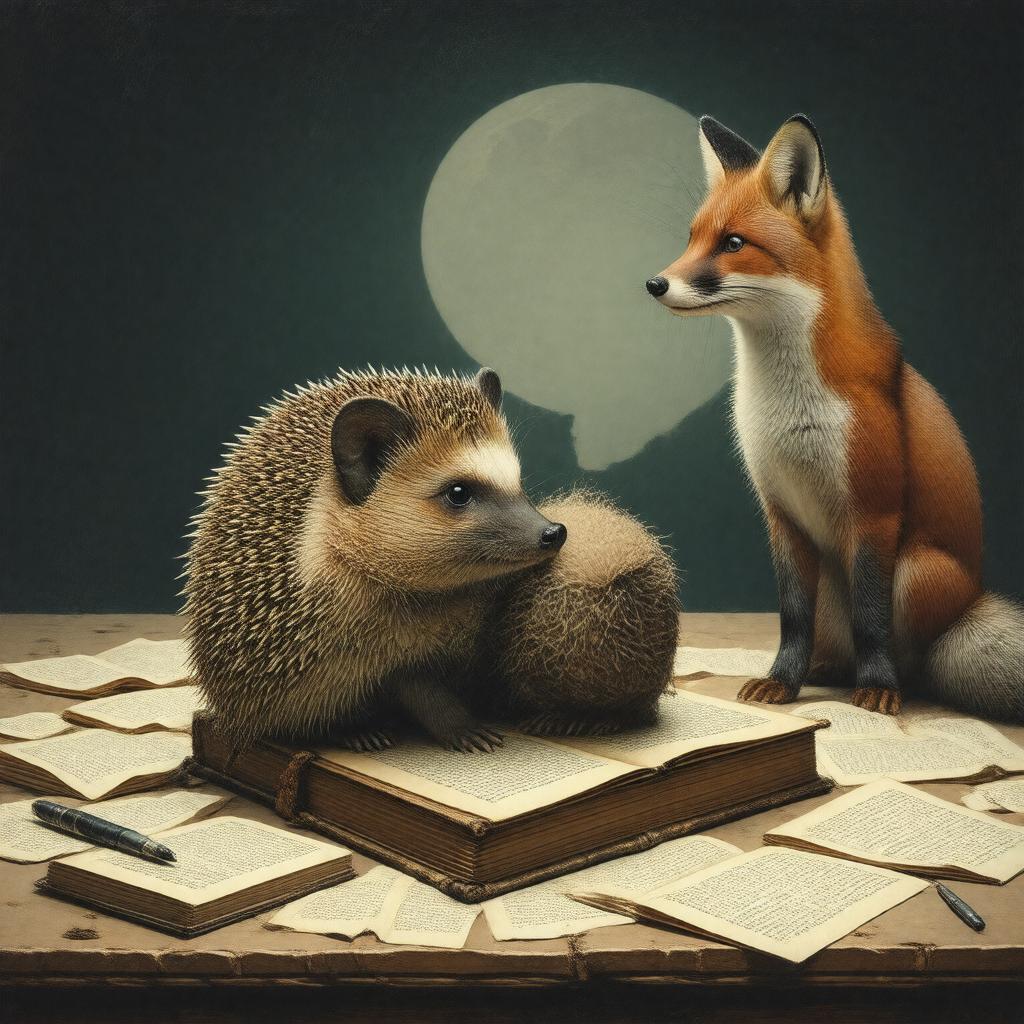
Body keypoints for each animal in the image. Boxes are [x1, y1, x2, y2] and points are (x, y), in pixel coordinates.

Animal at [645, 114, 1023, 722]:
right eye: (692, 238)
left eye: (733, 244)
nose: (655, 283)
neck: (785, 406)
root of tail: (971, 604)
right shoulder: (782, 515)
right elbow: (792, 619)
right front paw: (782, 681)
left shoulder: (873, 512)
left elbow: (871, 620)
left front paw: (877, 689)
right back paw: (825, 670)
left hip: (917, 570)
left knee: (914, 661)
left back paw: (891, 683)